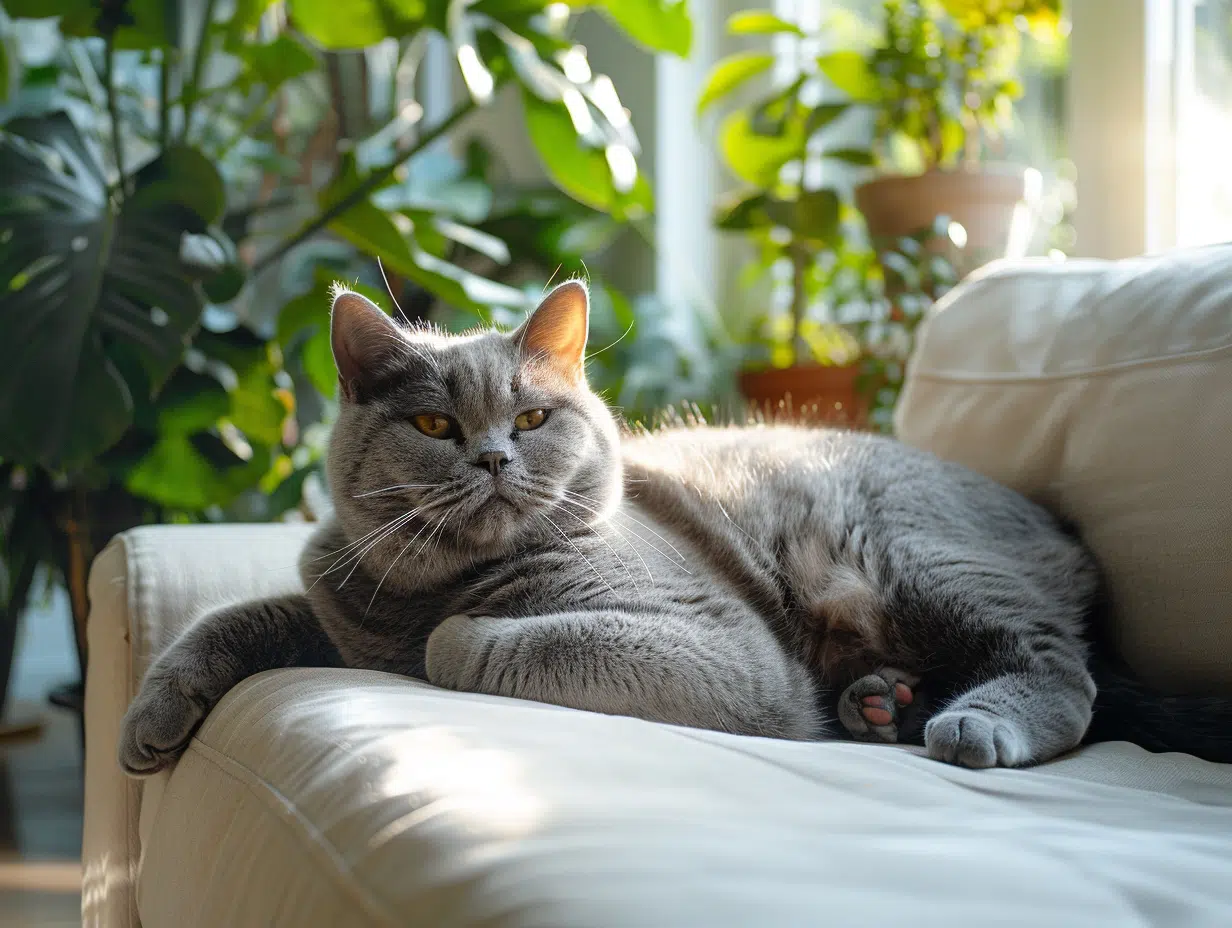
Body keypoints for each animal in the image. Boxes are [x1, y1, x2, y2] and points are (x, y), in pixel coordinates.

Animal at [115, 278, 1103, 769]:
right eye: (434, 425)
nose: (493, 459)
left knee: (1060, 666)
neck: (434, 589)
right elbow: (234, 616)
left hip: (904, 552)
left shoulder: (727, 647)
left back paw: (968, 724)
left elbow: (473, 642)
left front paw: (455, 636)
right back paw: (878, 701)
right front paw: (149, 717)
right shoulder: (336, 602)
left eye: (531, 418)